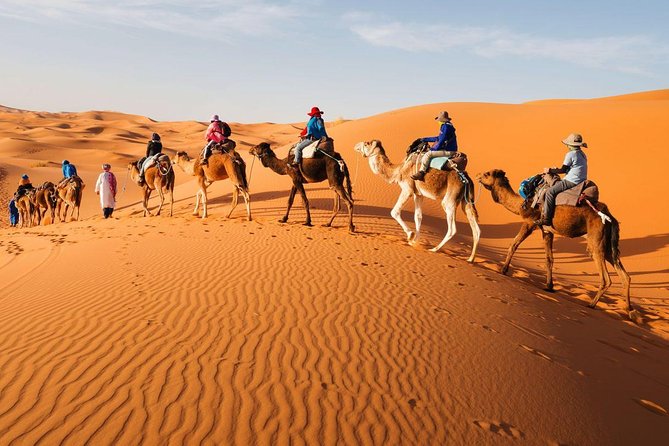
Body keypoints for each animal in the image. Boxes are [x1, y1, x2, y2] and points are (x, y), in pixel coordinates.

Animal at [474, 167, 632, 318]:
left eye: (487, 174)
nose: (477, 175)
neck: (522, 204)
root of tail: (611, 218)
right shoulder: (547, 231)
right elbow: (549, 259)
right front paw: (549, 286)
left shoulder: (530, 222)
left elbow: (513, 244)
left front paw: (503, 270)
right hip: (608, 244)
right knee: (625, 276)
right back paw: (629, 311)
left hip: (596, 240)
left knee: (605, 277)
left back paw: (592, 304)